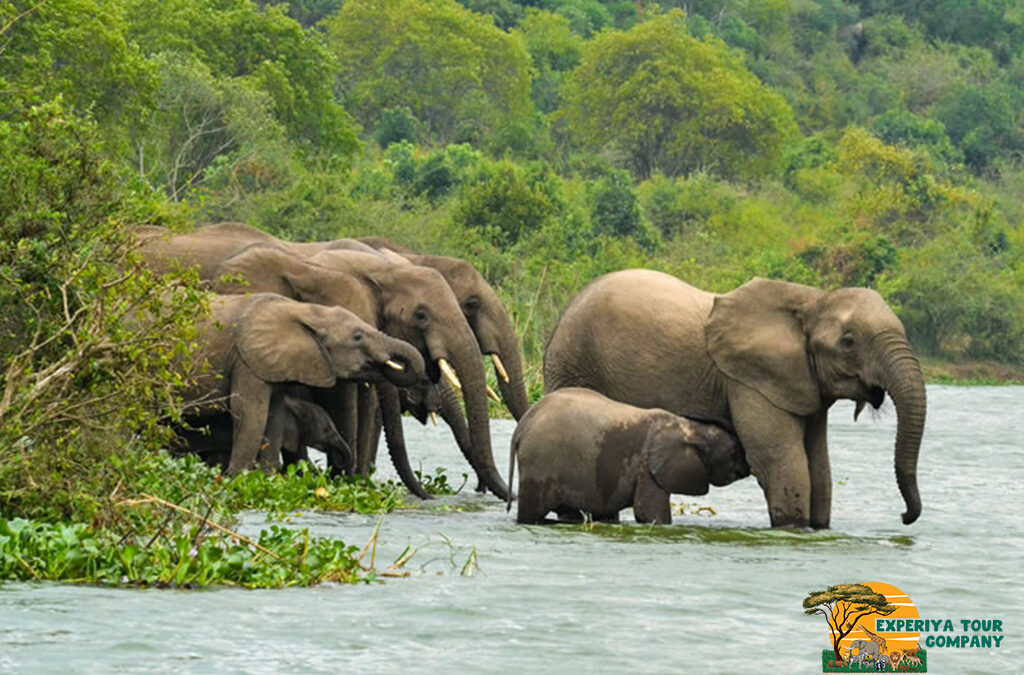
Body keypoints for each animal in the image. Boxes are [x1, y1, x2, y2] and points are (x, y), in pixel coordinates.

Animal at [183, 293, 425, 475]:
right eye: (357, 337)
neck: (307, 311)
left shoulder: (273, 366)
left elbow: (274, 417)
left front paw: (266, 478)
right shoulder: (246, 362)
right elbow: (250, 414)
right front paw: (235, 479)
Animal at [508, 388, 749, 524]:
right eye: (734, 452)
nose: (749, 466)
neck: (690, 428)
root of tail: (522, 426)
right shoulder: (647, 467)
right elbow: (649, 513)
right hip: (539, 463)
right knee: (531, 514)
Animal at [543, 271, 926, 528]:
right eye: (848, 342)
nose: (904, 517)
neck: (812, 301)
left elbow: (819, 467)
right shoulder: (747, 382)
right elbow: (780, 460)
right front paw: (793, 529)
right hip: (573, 363)